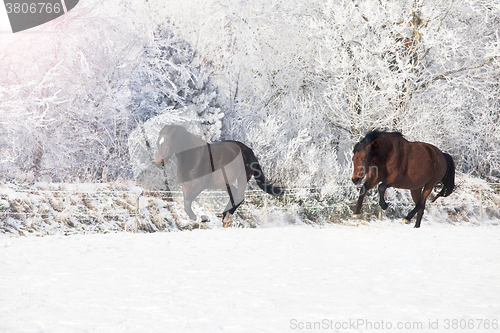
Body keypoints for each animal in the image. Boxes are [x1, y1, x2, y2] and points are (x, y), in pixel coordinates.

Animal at [154, 124, 284, 226]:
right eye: (158, 143)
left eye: (168, 143)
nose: (158, 163)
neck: (193, 157)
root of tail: (250, 151)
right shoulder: (186, 185)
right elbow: (186, 204)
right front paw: (199, 218)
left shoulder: (199, 185)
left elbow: (187, 204)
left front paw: (201, 218)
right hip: (225, 183)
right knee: (234, 194)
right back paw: (224, 215)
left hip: (242, 178)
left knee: (240, 197)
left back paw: (226, 218)